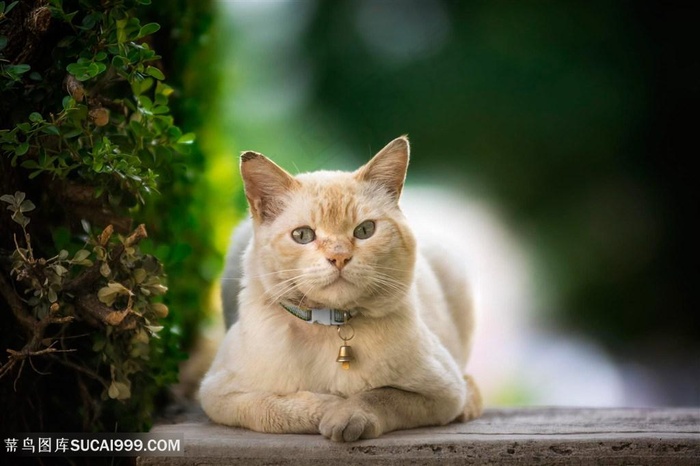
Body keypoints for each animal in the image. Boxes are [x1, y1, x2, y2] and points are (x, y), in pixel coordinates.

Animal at [198, 137, 482, 442]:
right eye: (302, 235)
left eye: (365, 230)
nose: (339, 257)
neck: (329, 328)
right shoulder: (218, 393)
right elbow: (273, 407)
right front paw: (328, 407)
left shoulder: (443, 392)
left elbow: (379, 395)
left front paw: (345, 416)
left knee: (469, 383)